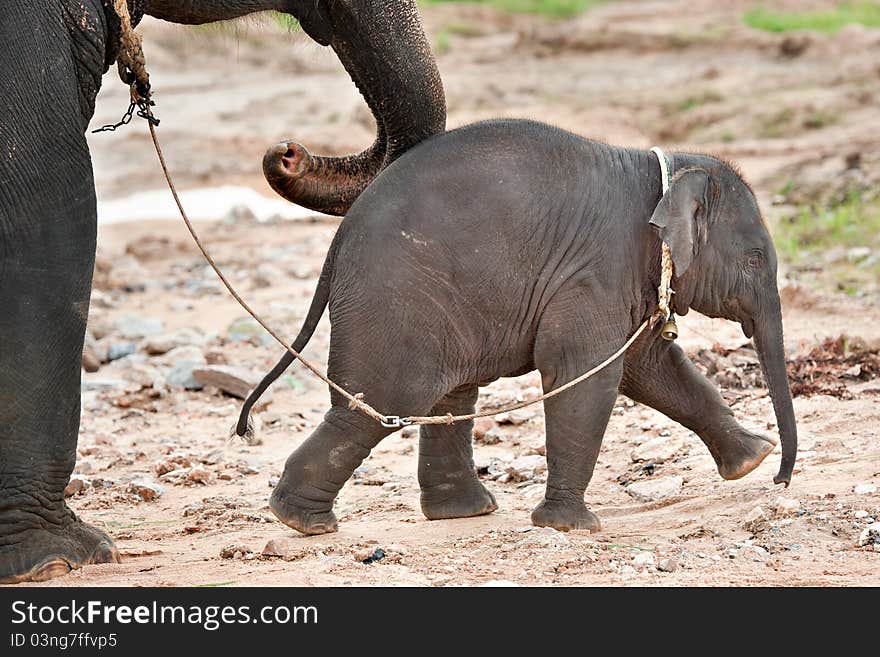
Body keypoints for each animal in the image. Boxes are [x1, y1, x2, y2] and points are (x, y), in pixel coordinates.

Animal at [234, 120, 796, 536]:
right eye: (754, 259)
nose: (782, 480)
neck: (661, 173)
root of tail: (338, 240)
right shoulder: (598, 270)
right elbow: (587, 376)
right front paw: (571, 527)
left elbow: (652, 368)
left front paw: (750, 461)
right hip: (393, 301)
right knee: (379, 406)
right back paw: (303, 522)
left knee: (448, 397)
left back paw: (461, 512)